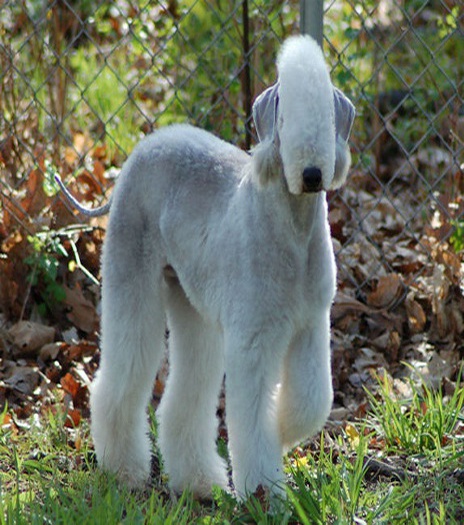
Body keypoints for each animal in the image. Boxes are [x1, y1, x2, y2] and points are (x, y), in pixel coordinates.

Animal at [57, 34, 356, 498]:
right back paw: (124, 472)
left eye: (326, 117)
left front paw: (283, 427)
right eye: (284, 118)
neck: (292, 227)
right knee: (119, 380)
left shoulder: (311, 324)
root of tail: (142, 149)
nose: (311, 173)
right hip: (132, 279)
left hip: (190, 303)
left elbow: (313, 400)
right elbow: (252, 420)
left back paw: (198, 482)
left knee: (184, 397)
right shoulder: (253, 339)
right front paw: (266, 493)